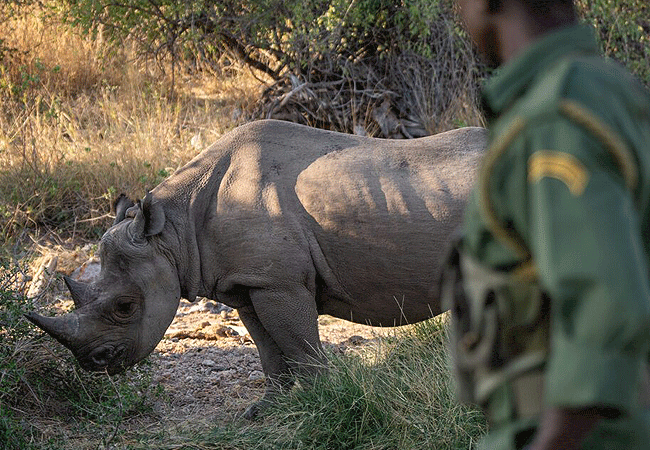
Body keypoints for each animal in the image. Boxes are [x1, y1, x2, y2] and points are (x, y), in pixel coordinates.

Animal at [27, 119, 486, 418]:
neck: (173, 232)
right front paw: (264, 410)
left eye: (125, 307)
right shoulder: (248, 285)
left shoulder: (277, 283)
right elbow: (268, 350)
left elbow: (300, 346)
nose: (95, 363)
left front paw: (326, 403)